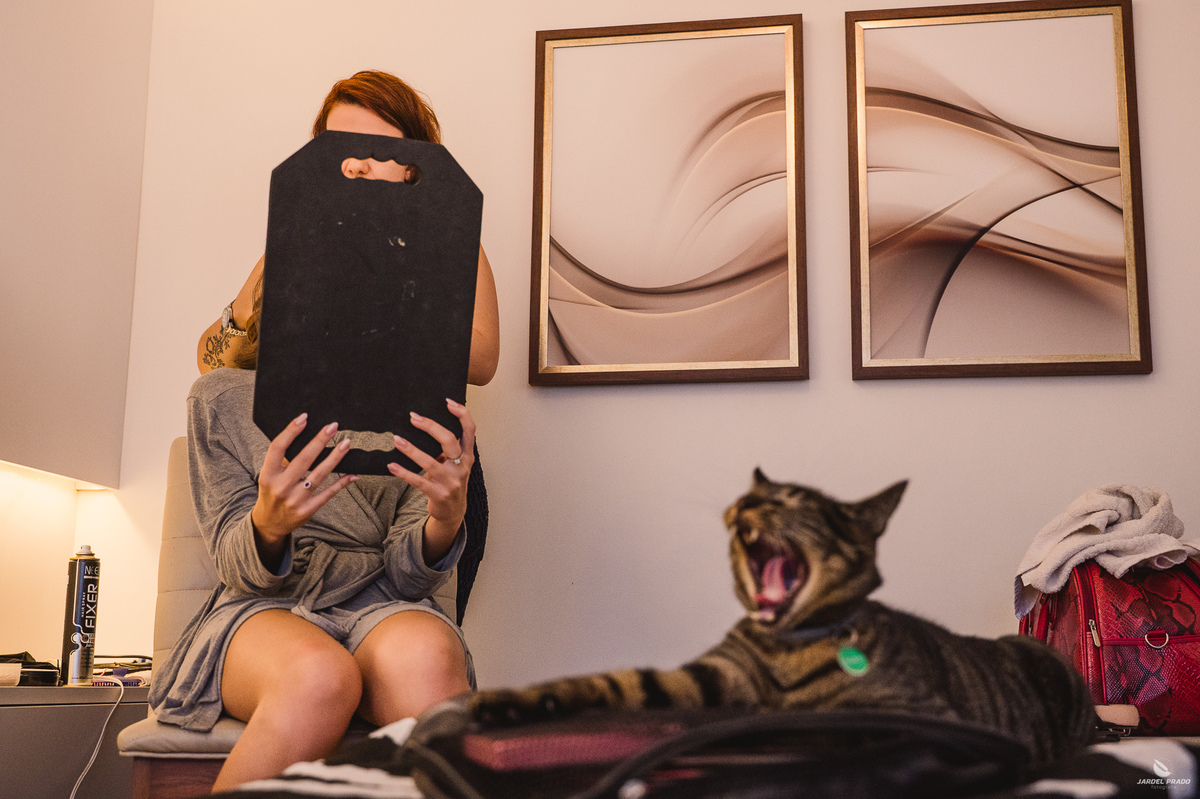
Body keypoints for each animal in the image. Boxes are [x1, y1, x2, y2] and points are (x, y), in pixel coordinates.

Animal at [443, 470, 1097, 766]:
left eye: (794, 499)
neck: (789, 648)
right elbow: (615, 681)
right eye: (756, 492)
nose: (745, 501)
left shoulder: (922, 715)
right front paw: (510, 704)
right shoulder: (708, 677)